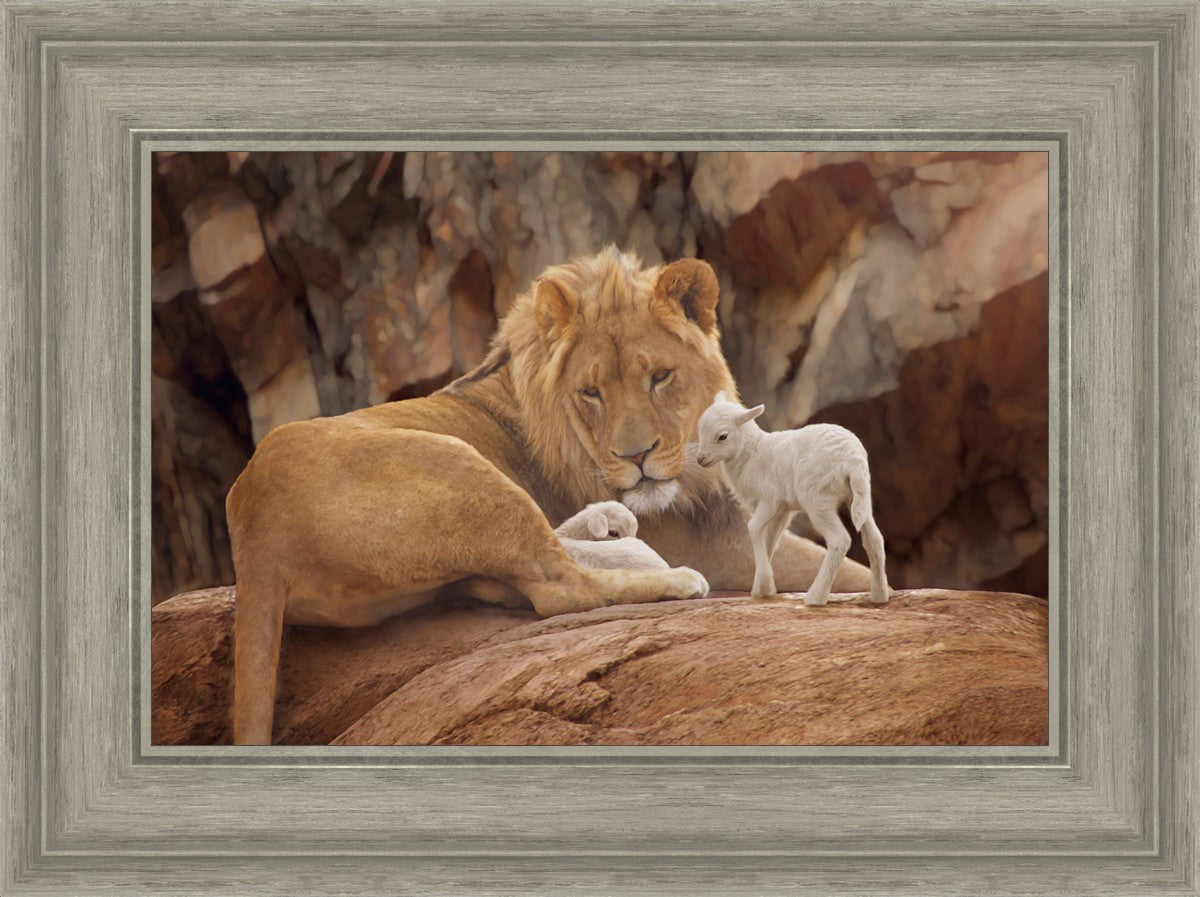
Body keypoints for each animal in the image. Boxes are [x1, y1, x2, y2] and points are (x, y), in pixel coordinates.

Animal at [695, 391, 890, 607]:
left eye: (722, 436)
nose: (700, 459)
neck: (752, 453)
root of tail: (852, 459)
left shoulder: (769, 500)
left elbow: (753, 528)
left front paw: (764, 584)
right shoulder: (782, 510)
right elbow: (770, 540)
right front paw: (763, 588)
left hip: (817, 498)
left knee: (839, 540)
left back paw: (815, 597)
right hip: (859, 496)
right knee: (874, 539)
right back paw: (879, 596)